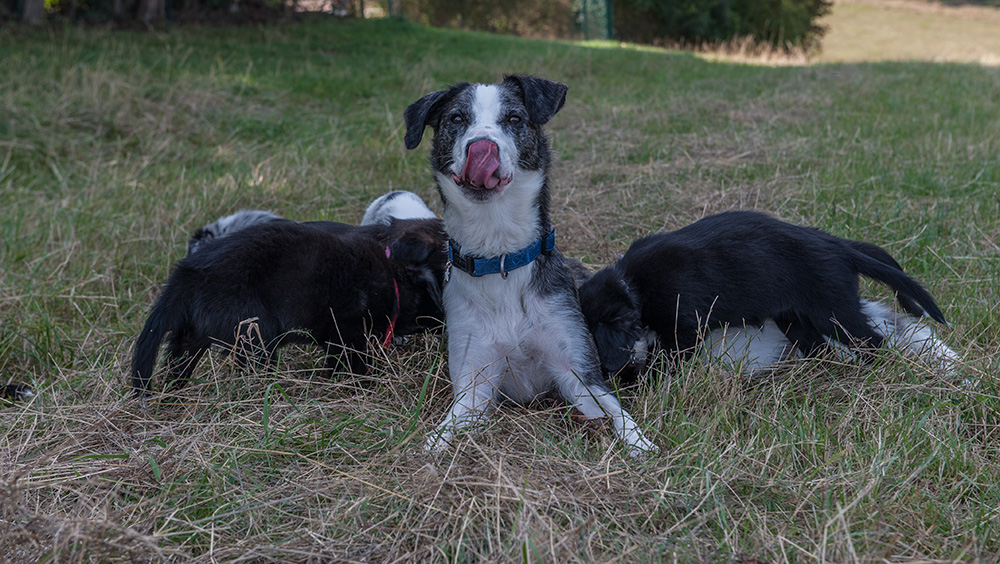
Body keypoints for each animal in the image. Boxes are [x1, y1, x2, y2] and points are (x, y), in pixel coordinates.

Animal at [133, 218, 446, 398]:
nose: (446, 322)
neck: (392, 279)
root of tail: (186, 274)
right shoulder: (346, 333)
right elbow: (351, 364)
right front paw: (357, 386)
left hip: (197, 331)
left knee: (179, 356)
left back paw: (175, 393)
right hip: (256, 330)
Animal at [406, 74, 656, 454]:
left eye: (514, 119)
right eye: (456, 119)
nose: (482, 147)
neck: (501, 259)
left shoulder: (580, 373)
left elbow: (617, 413)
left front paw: (640, 444)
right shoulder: (474, 383)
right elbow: (447, 428)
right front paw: (430, 447)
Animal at [584, 212, 956, 384]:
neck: (631, 284)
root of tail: (840, 247)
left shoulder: (684, 327)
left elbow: (668, 358)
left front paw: (652, 382)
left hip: (833, 310)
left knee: (874, 342)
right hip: (794, 319)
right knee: (820, 349)